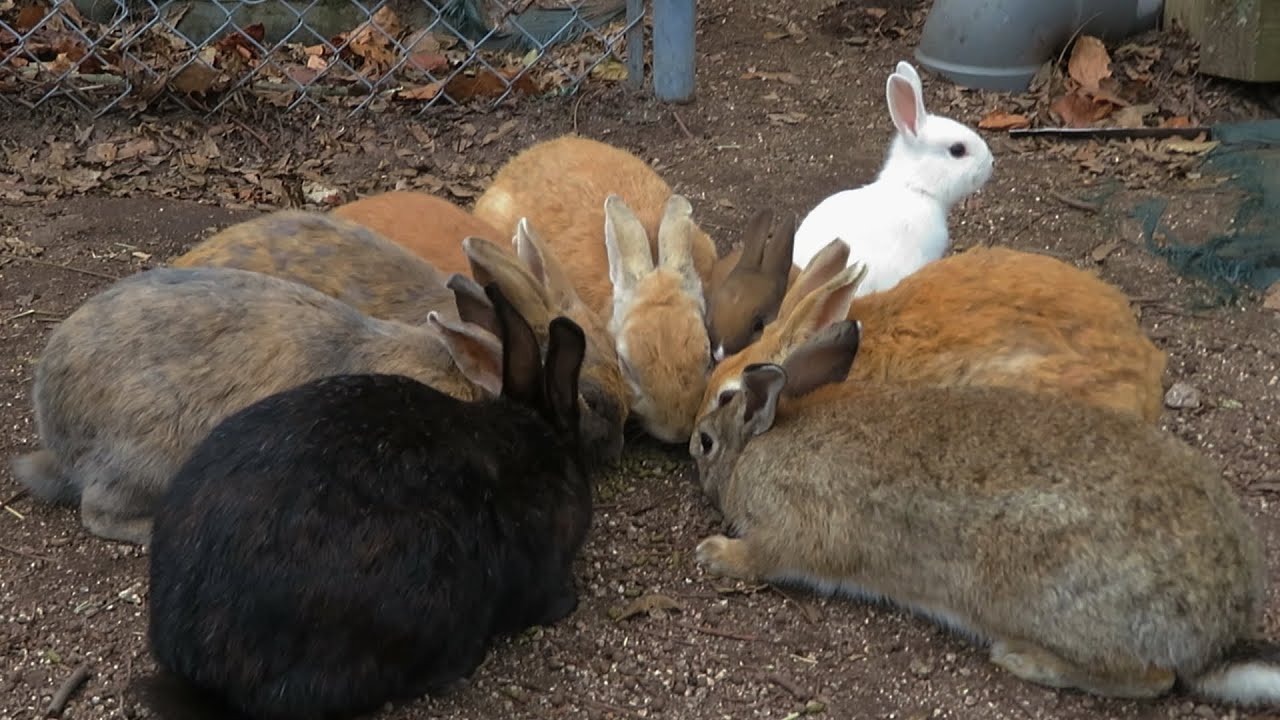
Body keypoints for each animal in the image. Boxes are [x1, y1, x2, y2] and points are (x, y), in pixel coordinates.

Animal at [690, 323, 1280, 706]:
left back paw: (1025, 660)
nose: (693, 451)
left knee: (1153, 680)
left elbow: (767, 557)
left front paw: (714, 554)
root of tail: (1219, 635)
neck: (762, 443)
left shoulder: (796, 524)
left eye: (704, 443)